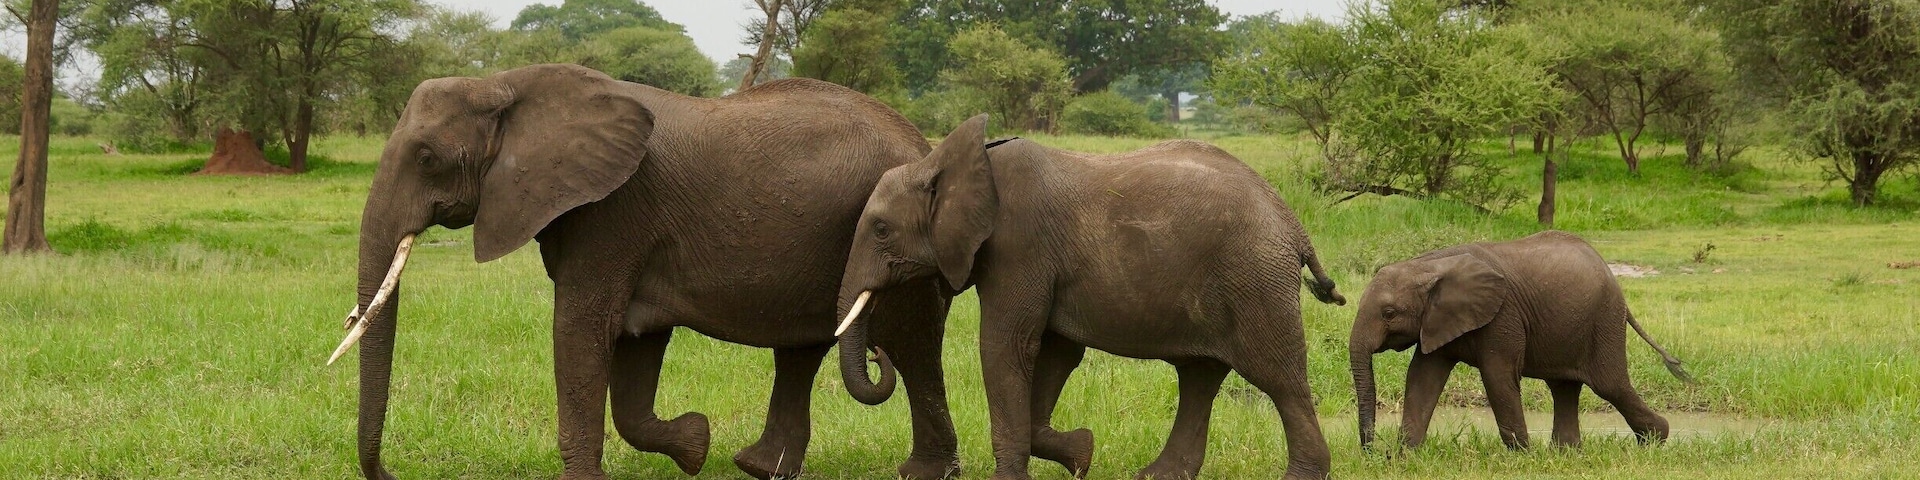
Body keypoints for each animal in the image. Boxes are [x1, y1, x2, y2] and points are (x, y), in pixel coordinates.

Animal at [327, 64, 962, 480]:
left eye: (427, 158)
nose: (390, 474)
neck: (508, 83)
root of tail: (924, 143)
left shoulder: (614, 211)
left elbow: (581, 331)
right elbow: (635, 342)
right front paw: (696, 446)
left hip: (901, 241)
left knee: (912, 349)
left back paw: (922, 473)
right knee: (802, 351)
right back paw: (759, 467)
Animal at [830, 115, 1348, 480]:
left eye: (880, 230)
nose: (876, 354)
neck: (943, 161)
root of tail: (1292, 223)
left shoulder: (1020, 246)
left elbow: (1005, 346)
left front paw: (1016, 475)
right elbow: (1056, 352)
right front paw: (1082, 454)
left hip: (1255, 282)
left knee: (1277, 375)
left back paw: (1299, 476)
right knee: (1199, 376)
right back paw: (1155, 476)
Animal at [1348, 230, 1693, 451]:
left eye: (1389, 313)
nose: (1372, 451)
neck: (1429, 265)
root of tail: (1609, 271)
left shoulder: (1503, 316)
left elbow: (1498, 377)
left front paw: (1522, 455)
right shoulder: (1437, 321)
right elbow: (1422, 377)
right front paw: (1404, 456)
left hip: (1603, 319)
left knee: (1610, 385)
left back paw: (1655, 441)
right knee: (1564, 387)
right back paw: (1564, 453)